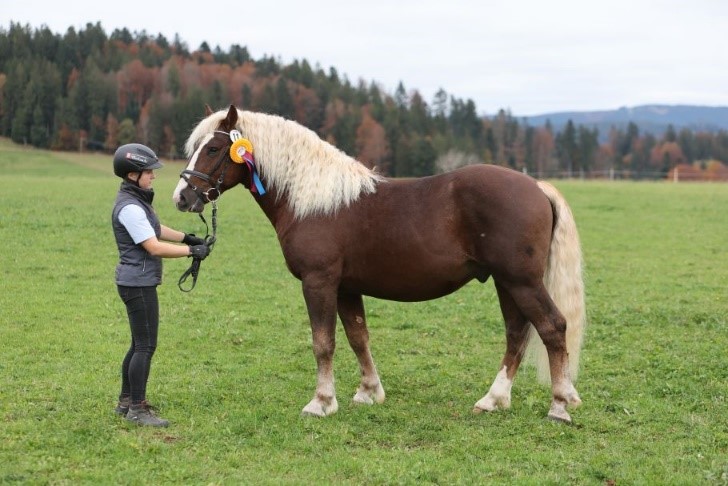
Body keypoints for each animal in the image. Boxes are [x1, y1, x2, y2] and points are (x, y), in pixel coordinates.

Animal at [172, 105, 584, 422]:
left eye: (213, 148)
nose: (182, 197)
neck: (315, 200)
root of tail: (537, 187)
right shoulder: (346, 288)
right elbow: (358, 337)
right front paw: (368, 392)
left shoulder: (318, 282)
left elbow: (323, 342)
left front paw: (321, 403)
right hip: (506, 282)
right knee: (517, 333)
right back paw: (493, 400)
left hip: (521, 281)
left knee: (552, 327)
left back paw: (559, 406)